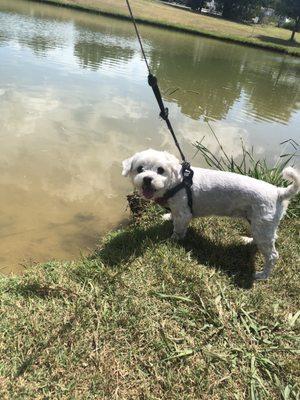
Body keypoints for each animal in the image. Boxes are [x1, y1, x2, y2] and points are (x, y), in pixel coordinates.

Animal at [122, 148, 300, 280]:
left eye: (160, 170)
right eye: (140, 169)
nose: (147, 179)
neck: (177, 182)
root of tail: (279, 192)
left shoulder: (184, 213)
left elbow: (178, 230)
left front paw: (172, 240)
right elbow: (173, 217)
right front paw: (167, 217)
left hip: (262, 226)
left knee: (273, 255)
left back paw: (263, 275)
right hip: (258, 223)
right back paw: (248, 241)